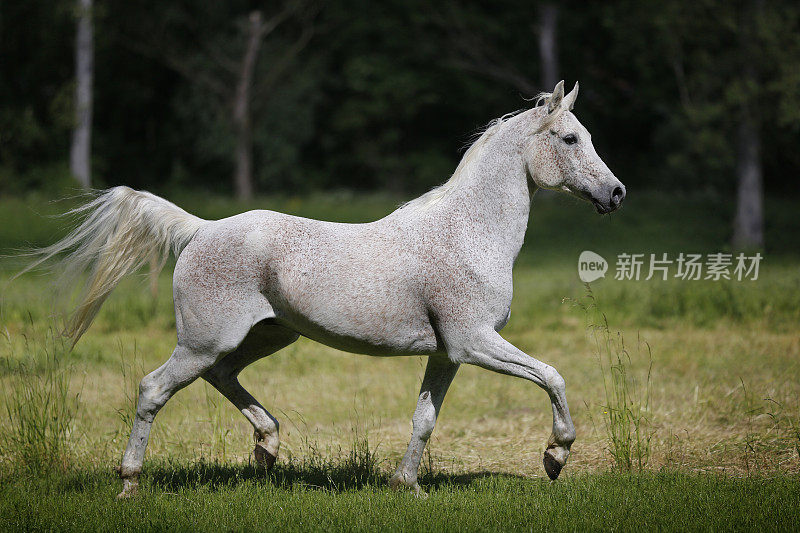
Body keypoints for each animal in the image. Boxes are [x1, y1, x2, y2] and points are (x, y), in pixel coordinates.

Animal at [25, 81, 624, 496]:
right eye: (570, 138)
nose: (615, 193)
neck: (466, 233)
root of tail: (200, 229)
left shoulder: (448, 353)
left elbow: (425, 419)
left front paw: (406, 485)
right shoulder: (474, 342)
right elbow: (553, 377)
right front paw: (555, 457)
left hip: (267, 336)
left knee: (223, 376)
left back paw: (267, 448)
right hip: (203, 341)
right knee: (153, 389)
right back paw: (130, 482)